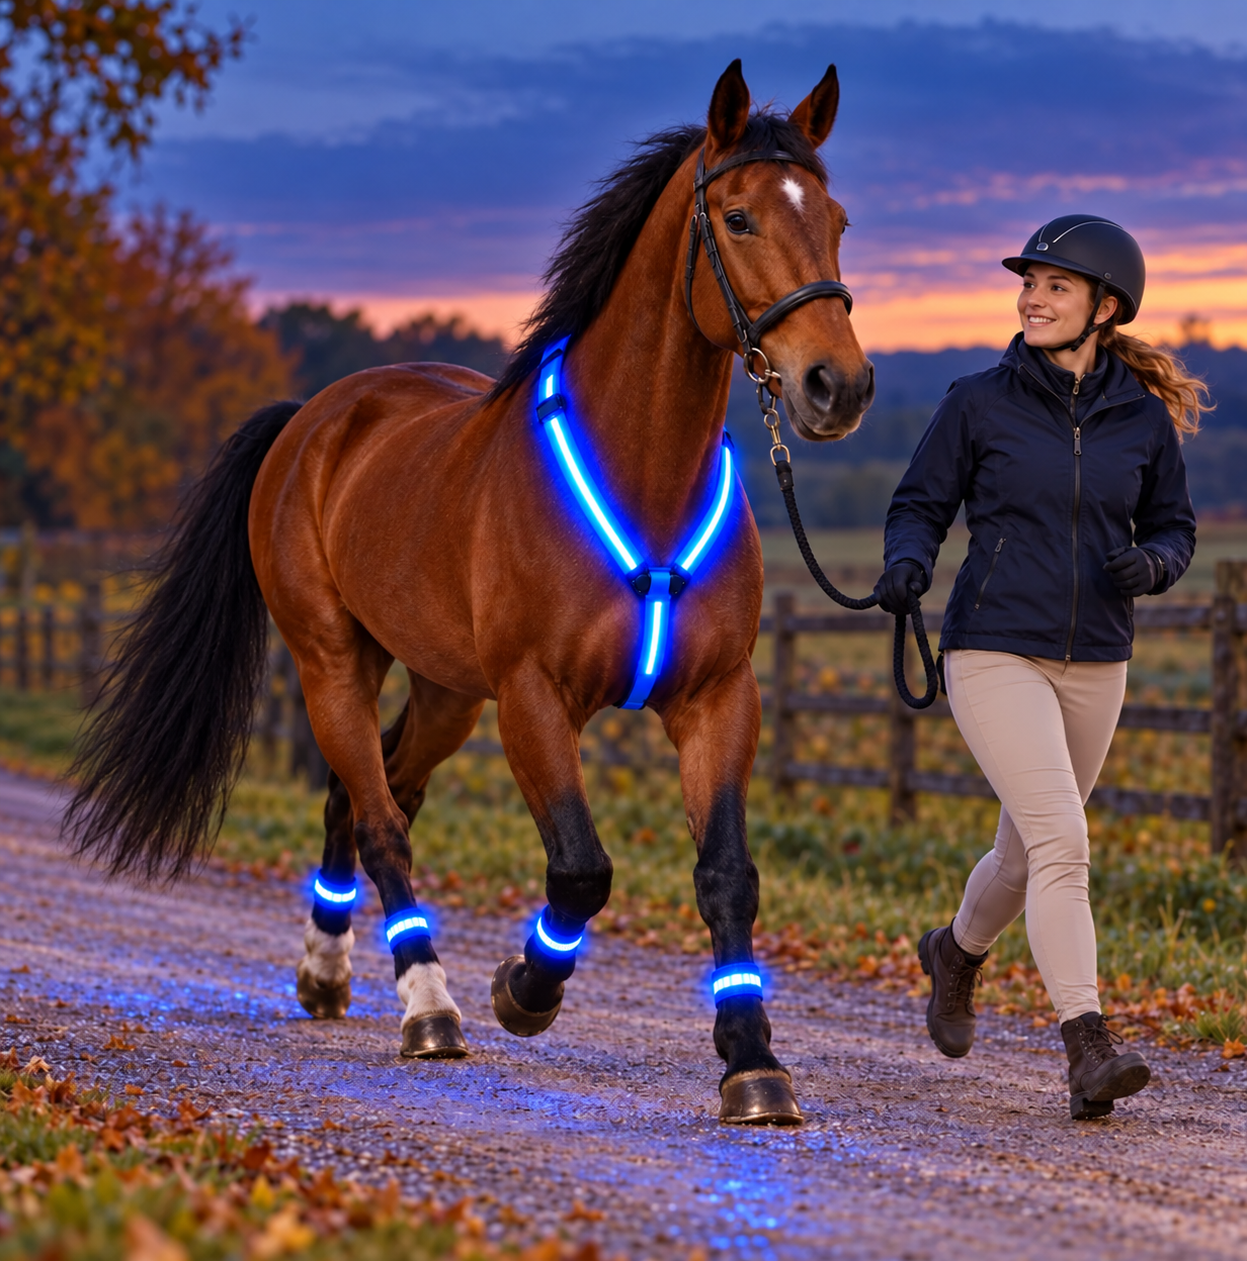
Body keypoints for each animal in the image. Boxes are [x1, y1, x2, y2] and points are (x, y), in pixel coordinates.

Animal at [65, 59, 874, 1125]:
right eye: (737, 218)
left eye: (836, 219)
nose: (837, 386)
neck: (644, 480)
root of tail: (314, 418)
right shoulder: (533, 698)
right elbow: (580, 870)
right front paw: (521, 989)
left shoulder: (715, 697)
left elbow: (727, 875)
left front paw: (752, 1062)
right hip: (332, 662)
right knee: (380, 823)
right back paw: (428, 1007)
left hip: (444, 689)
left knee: (369, 793)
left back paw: (326, 972)